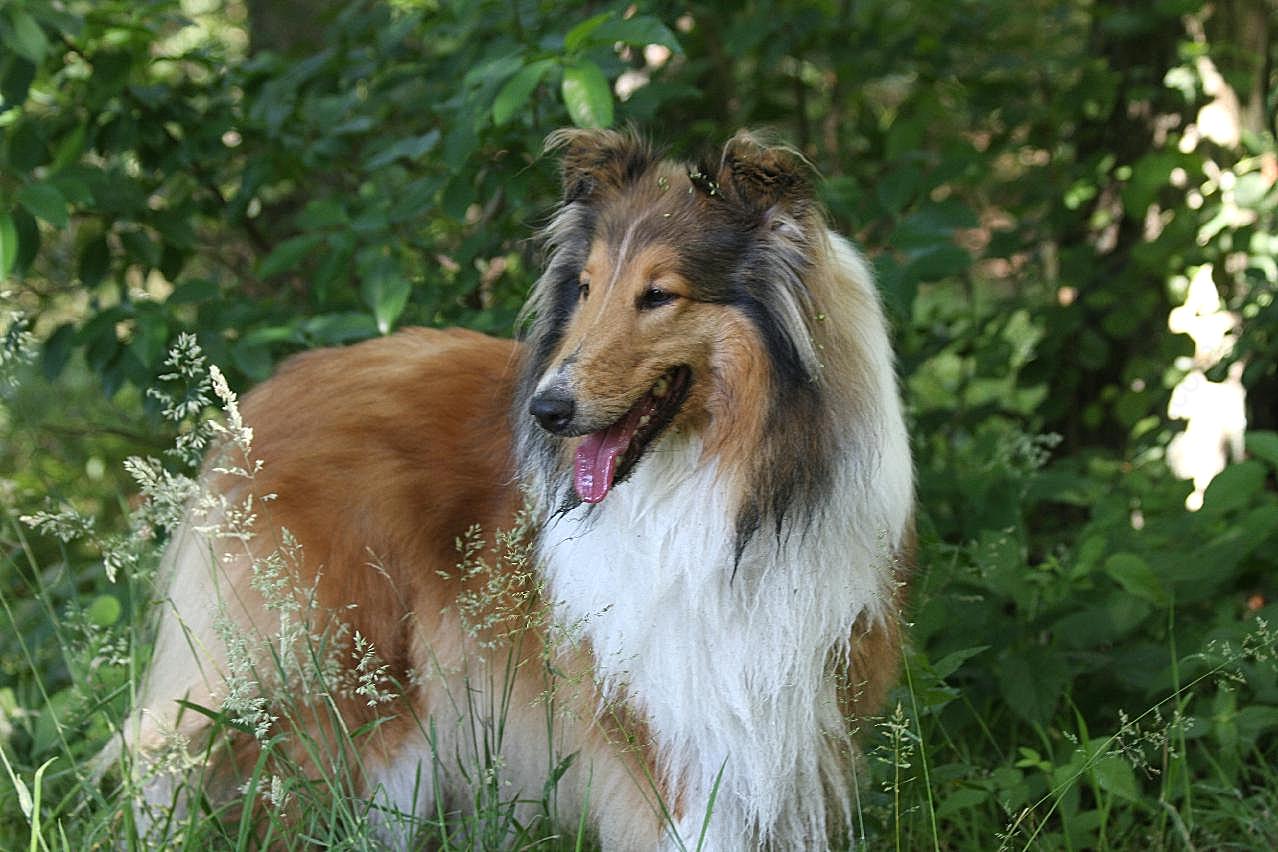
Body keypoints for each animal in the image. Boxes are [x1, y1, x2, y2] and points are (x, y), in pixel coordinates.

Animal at [127, 130, 909, 848]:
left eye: (659, 295)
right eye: (586, 288)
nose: (546, 411)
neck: (722, 482)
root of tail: (252, 406)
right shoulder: (658, 715)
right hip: (333, 678)